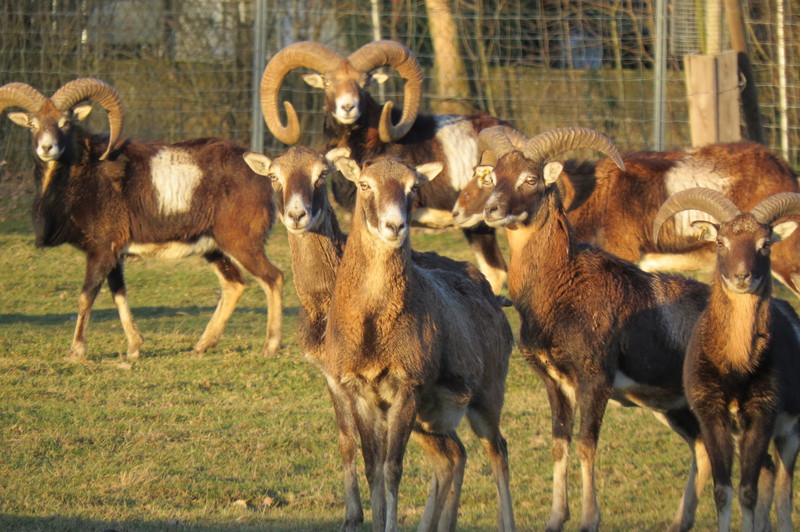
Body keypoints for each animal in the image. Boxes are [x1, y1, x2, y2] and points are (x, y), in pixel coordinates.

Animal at [0, 78, 283, 360]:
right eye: (32, 123)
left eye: (65, 122)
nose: (47, 147)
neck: (84, 176)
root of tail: (265, 176)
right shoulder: (114, 256)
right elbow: (119, 294)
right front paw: (134, 347)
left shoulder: (102, 251)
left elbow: (86, 295)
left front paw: (76, 352)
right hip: (215, 249)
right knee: (234, 285)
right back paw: (202, 345)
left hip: (241, 244)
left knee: (273, 278)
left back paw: (270, 346)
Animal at [243, 144, 514, 531]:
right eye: (273, 176)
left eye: (321, 175)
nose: (297, 214)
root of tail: (494, 295)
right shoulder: (338, 379)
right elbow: (353, 447)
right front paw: (353, 517)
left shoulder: (393, 385)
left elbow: (387, 465)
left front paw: (363, 518)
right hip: (432, 413)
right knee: (453, 454)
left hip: (483, 396)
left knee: (495, 450)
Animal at [477, 125, 727, 531]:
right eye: (495, 174)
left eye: (530, 178)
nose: (492, 209)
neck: (560, 283)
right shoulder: (556, 383)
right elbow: (560, 444)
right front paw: (556, 519)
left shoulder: (594, 381)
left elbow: (585, 444)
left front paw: (589, 519)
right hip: (676, 408)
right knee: (704, 448)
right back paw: (680, 521)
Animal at [653, 188, 800, 531]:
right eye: (721, 242)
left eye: (765, 243)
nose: (742, 276)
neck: (736, 369)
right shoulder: (712, 419)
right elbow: (723, 491)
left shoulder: (761, 419)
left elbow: (747, 492)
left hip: (790, 434)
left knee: (784, 489)